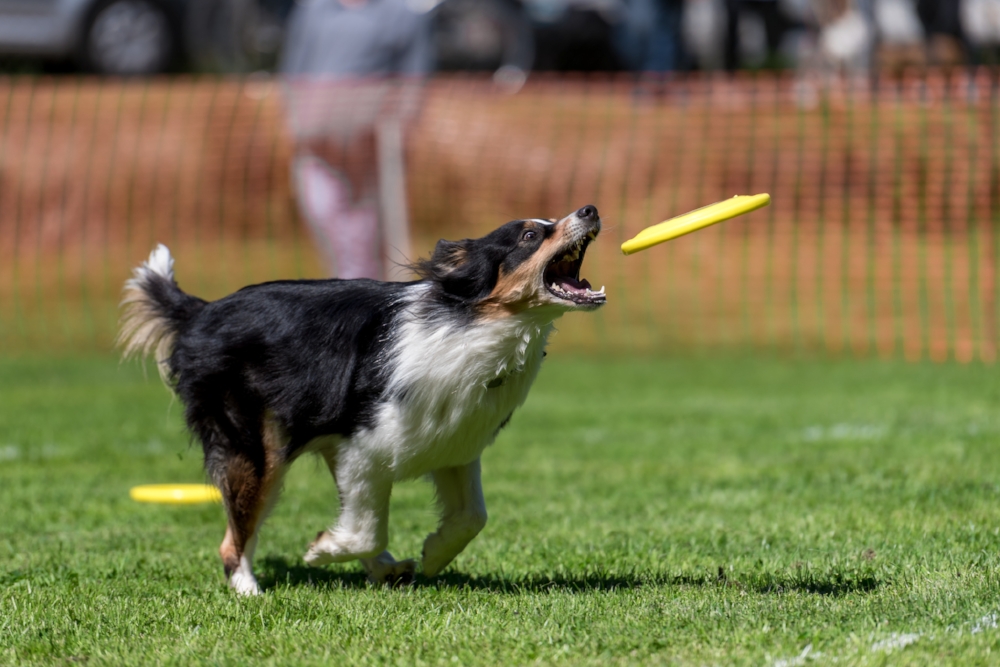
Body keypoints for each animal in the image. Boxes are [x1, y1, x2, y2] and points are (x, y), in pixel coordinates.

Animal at [115, 204, 600, 596]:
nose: (591, 209)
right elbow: (368, 530)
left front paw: (434, 554)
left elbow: (472, 516)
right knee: (234, 537)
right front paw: (320, 551)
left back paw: (386, 571)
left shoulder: (452, 441)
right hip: (256, 447)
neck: (467, 325)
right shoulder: (362, 447)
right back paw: (250, 590)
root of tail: (200, 311)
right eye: (530, 236)